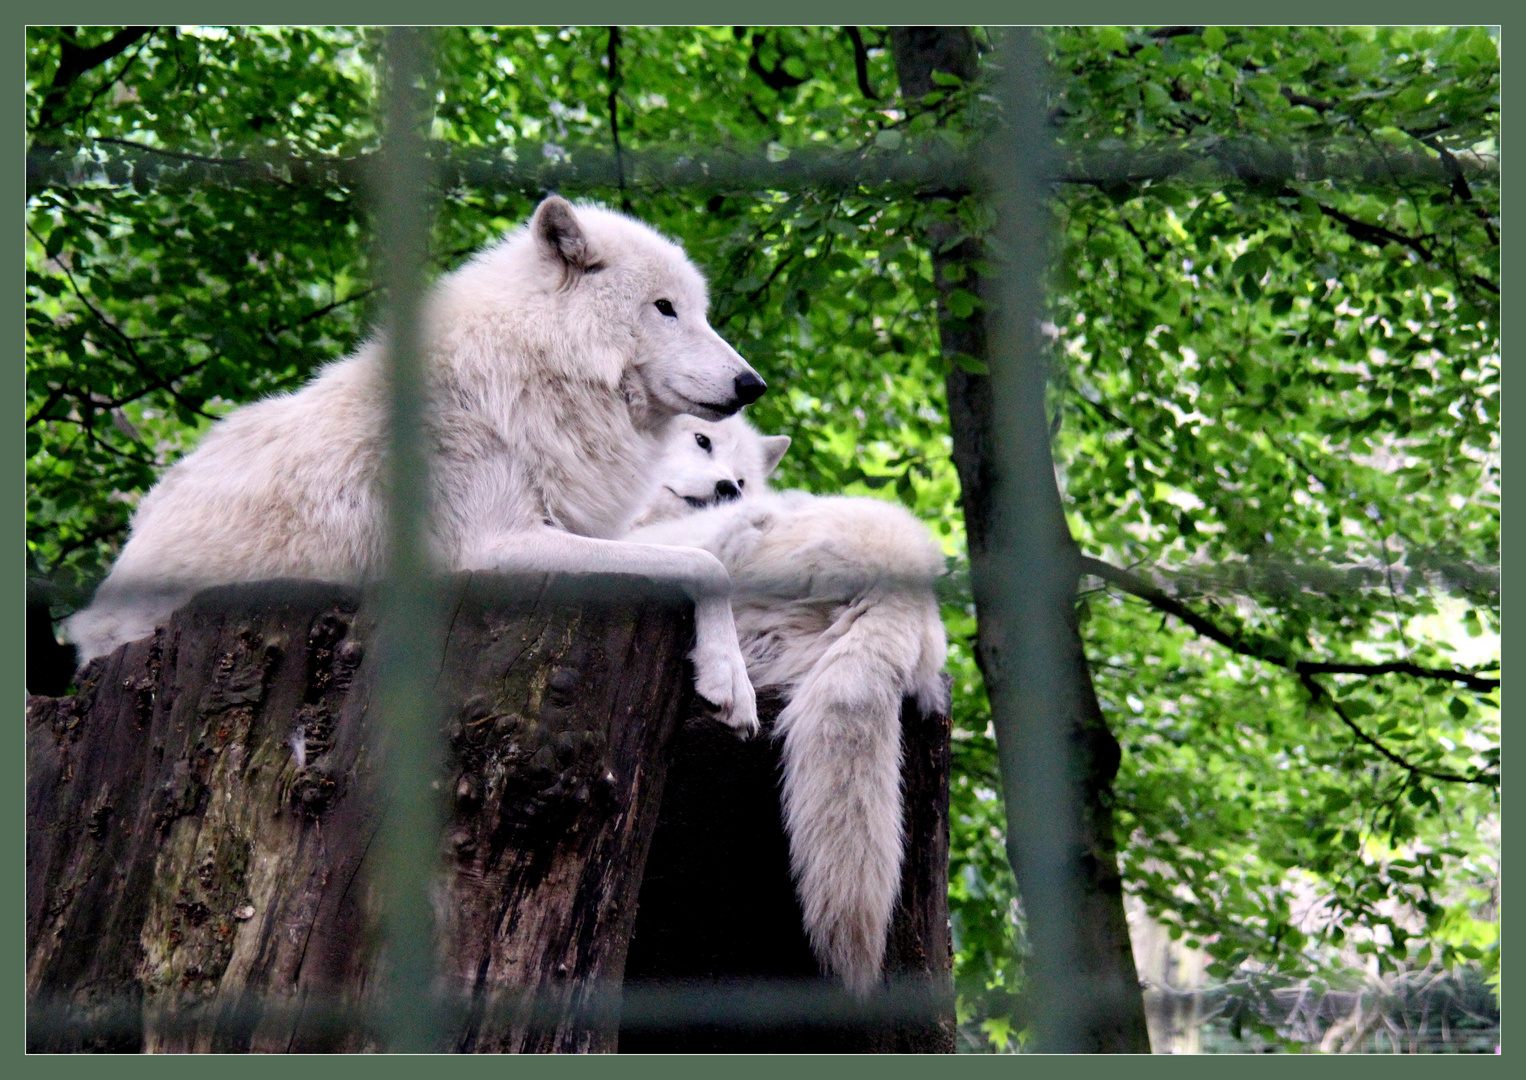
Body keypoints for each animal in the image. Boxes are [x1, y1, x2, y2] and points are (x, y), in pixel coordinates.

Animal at [67, 195, 769, 735]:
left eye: (699, 311)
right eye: (664, 308)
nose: (753, 383)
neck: (534, 367)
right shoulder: (493, 547)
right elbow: (702, 564)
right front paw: (730, 682)